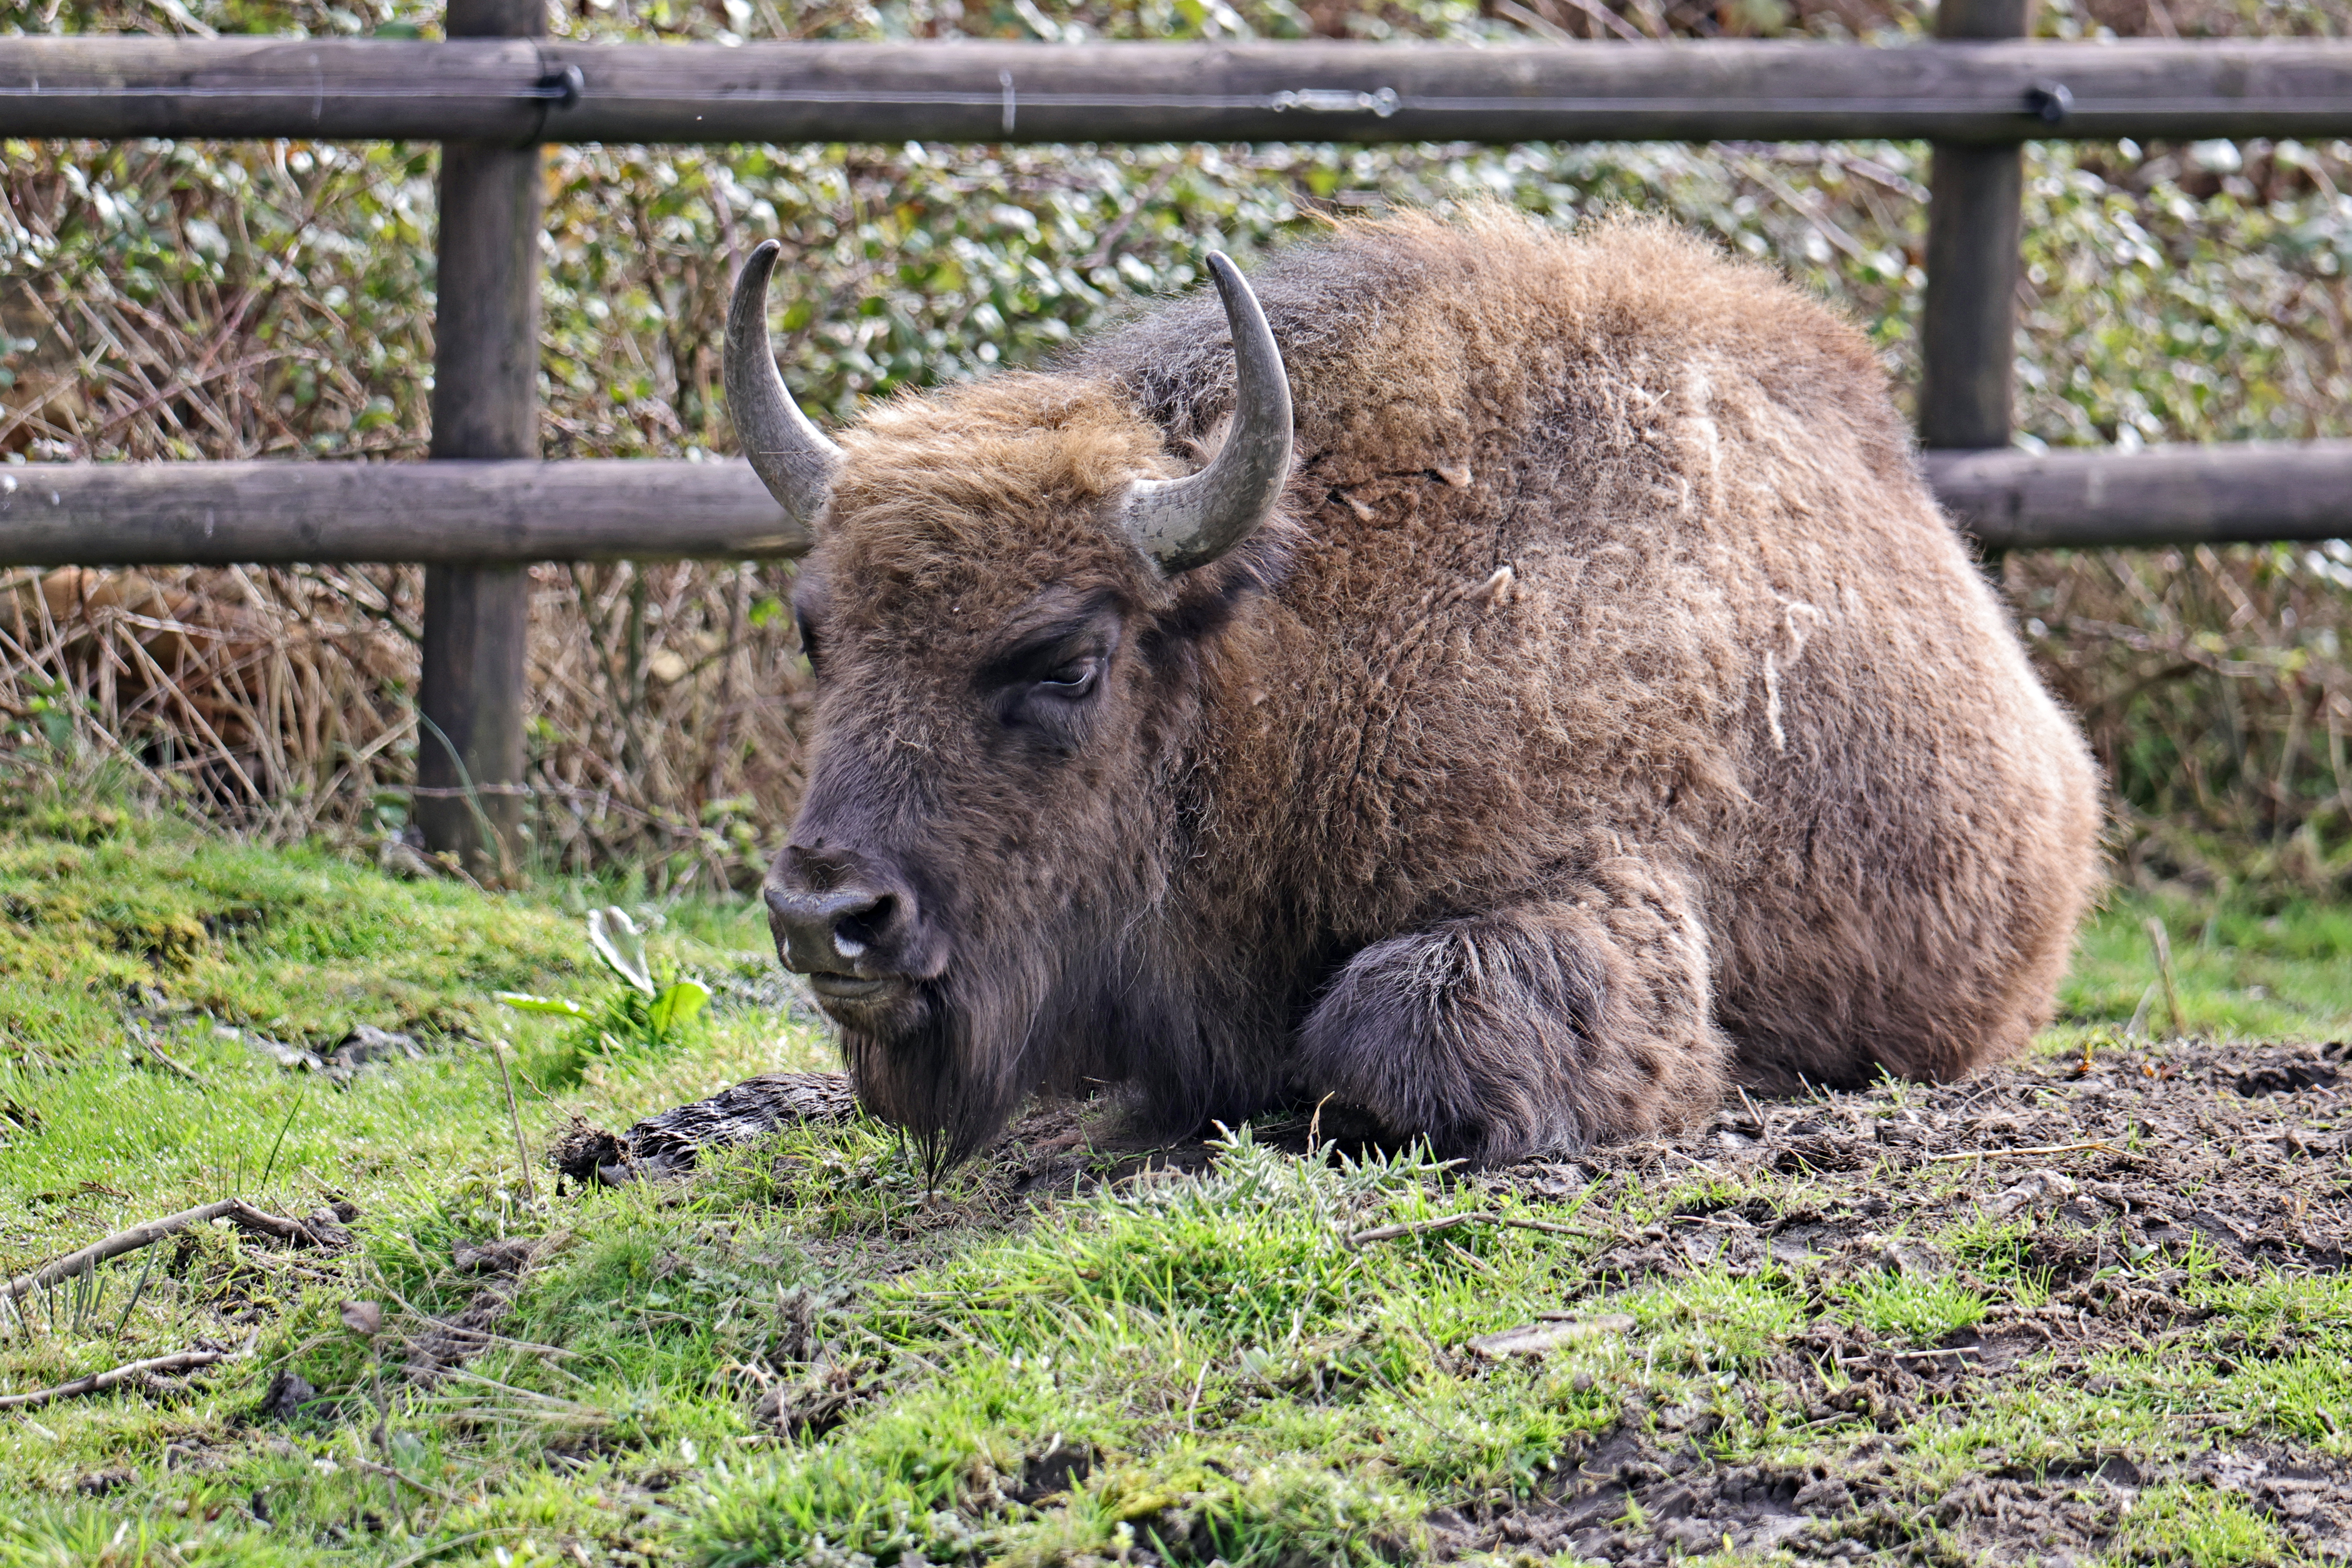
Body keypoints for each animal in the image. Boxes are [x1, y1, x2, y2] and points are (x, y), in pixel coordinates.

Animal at [732, 209, 2102, 1168]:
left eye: (1068, 659)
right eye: (815, 634)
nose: (824, 914)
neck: (1292, 651)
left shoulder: (1590, 890)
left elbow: (1388, 1029)